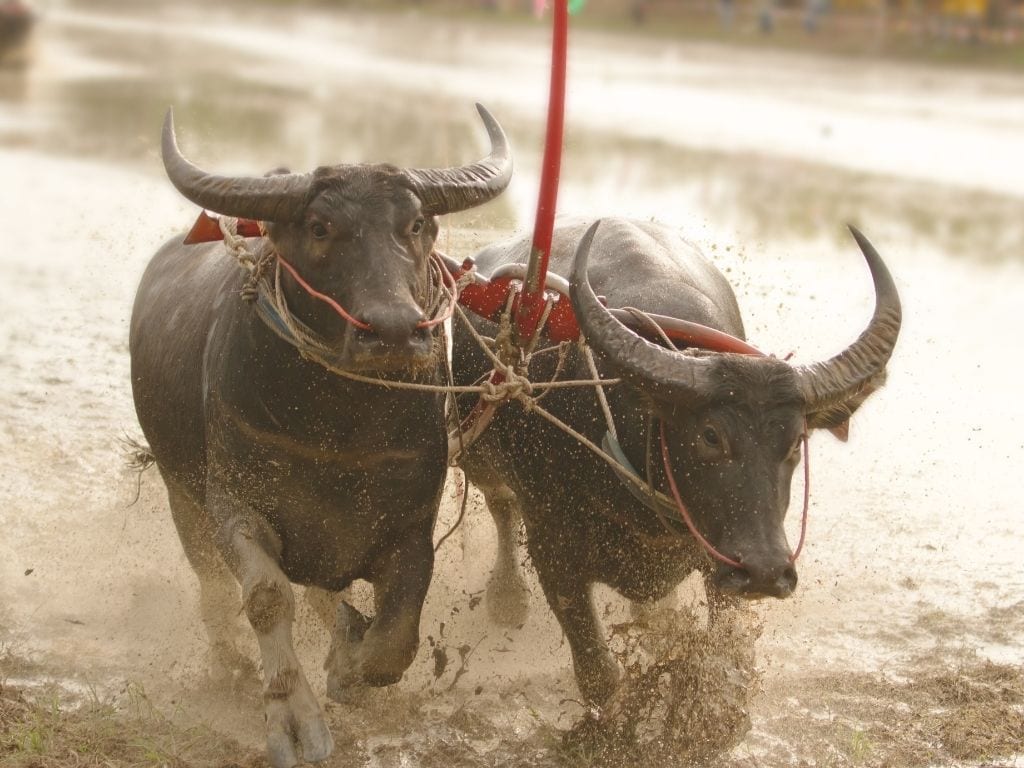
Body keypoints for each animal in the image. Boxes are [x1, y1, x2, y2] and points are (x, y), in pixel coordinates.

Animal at [130, 105, 512, 765]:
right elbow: (266, 596)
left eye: (415, 223)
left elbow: (398, 632)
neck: (342, 428)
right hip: (182, 496)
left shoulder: (411, 524)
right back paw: (229, 662)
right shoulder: (236, 503)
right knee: (212, 587)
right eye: (319, 226)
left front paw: (348, 664)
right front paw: (293, 719)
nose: (394, 331)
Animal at [452, 217, 901, 708]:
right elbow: (598, 676)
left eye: (795, 444)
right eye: (710, 436)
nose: (765, 572)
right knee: (500, 505)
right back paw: (507, 597)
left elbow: (728, 660)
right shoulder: (552, 547)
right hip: (477, 454)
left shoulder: (716, 559)